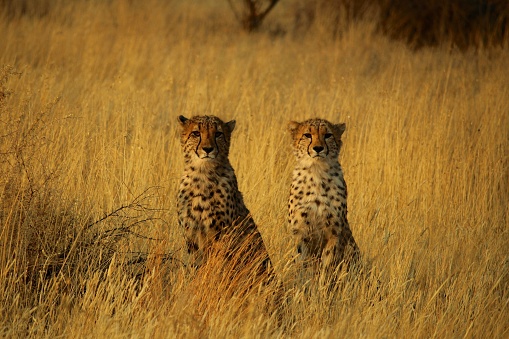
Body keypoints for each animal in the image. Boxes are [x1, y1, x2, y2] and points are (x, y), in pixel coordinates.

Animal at [177, 115, 272, 280]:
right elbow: (194, 264)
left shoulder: (221, 233)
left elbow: (217, 265)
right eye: (196, 133)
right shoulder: (191, 234)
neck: (202, 175)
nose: (208, 149)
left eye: (218, 134)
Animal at [288, 118, 360, 282]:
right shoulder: (300, 233)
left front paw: (323, 286)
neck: (317, 171)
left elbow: (327, 267)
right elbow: (300, 264)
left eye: (327, 135)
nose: (318, 148)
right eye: (307, 135)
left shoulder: (334, 233)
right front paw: (301, 285)